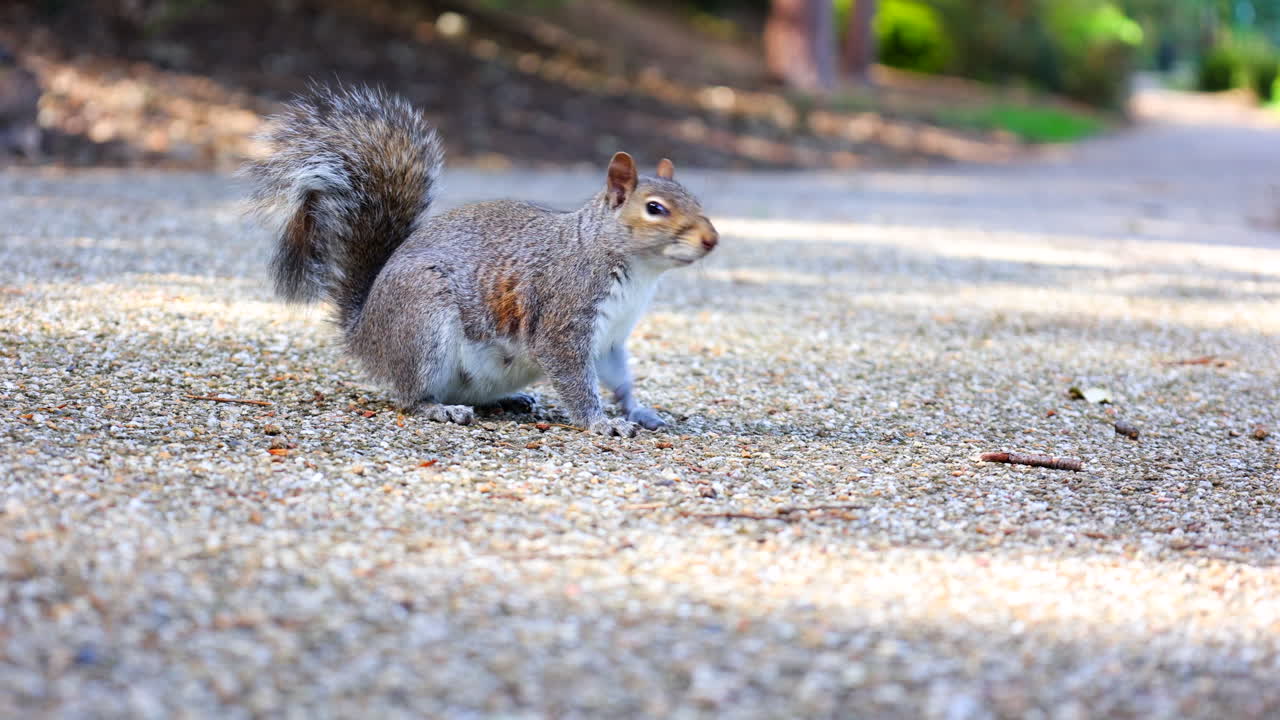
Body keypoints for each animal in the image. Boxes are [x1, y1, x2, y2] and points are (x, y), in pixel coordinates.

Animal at [244, 85, 719, 437]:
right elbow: (574, 378)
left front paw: (639, 411)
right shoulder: (566, 314)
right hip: (422, 321)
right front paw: (600, 423)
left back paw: (512, 399)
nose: (712, 239)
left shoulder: (612, 337)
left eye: (696, 198)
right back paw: (439, 409)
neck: (636, 271)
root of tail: (364, 333)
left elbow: (619, 380)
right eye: (655, 208)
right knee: (409, 394)